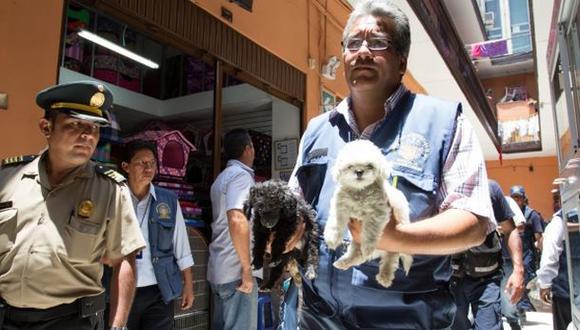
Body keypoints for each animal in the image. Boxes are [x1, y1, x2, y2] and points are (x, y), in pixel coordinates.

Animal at [326, 141, 412, 288]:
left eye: (370, 165)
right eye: (350, 166)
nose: (359, 171)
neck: (360, 191)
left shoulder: (377, 213)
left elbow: (370, 232)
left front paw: (368, 247)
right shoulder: (340, 206)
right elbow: (335, 223)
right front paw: (332, 239)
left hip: (394, 245)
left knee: (390, 259)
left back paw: (384, 277)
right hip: (356, 241)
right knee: (357, 255)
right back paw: (343, 262)